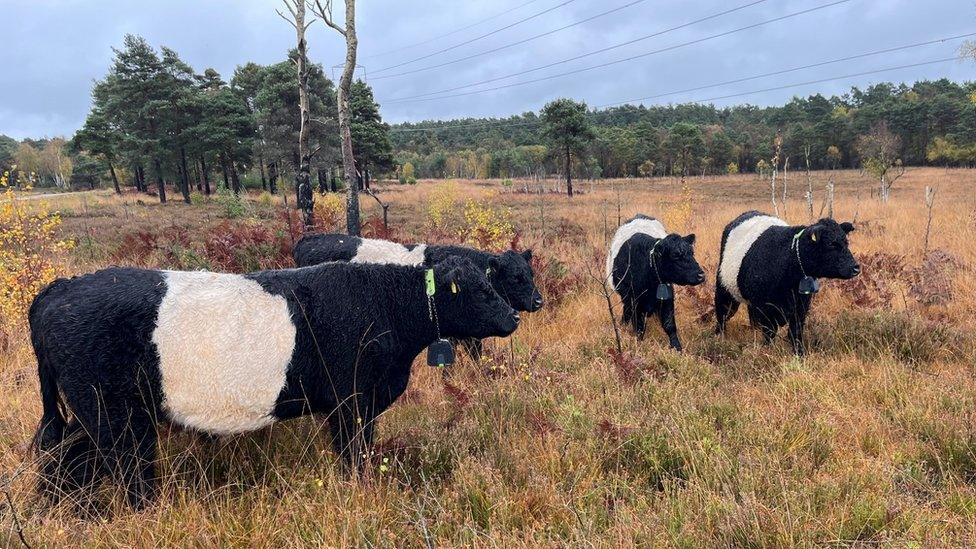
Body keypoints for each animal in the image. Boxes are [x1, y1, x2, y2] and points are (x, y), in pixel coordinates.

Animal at [30, 260, 520, 508]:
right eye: (482, 290)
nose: (514, 317)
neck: (385, 302)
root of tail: (60, 288)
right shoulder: (352, 401)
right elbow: (354, 455)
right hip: (111, 412)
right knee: (122, 467)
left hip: (91, 414)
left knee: (63, 459)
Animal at [608, 214, 704, 352]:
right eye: (675, 256)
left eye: (692, 253)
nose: (701, 275)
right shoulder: (634, 301)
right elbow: (639, 328)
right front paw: (639, 345)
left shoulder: (668, 298)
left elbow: (670, 325)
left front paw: (677, 348)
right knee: (627, 311)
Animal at [712, 210, 856, 356]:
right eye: (831, 244)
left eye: (846, 242)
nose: (855, 267)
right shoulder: (764, 308)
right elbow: (769, 333)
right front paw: (768, 352)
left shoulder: (801, 306)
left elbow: (795, 333)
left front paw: (799, 354)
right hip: (724, 288)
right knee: (722, 314)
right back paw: (719, 338)